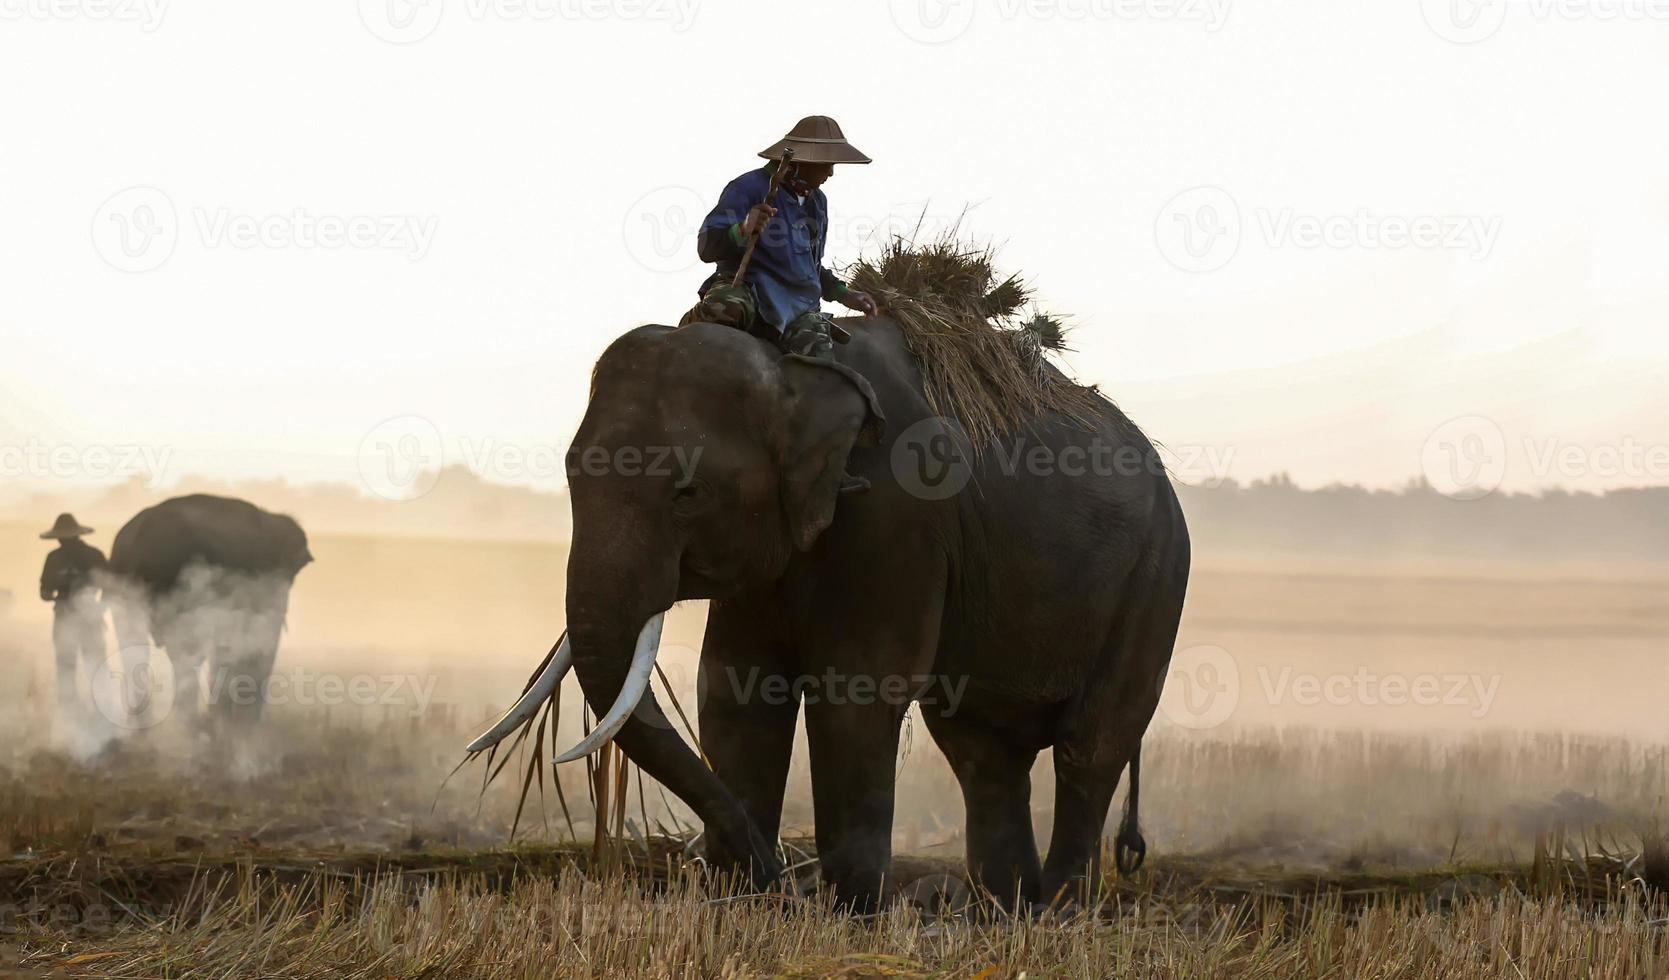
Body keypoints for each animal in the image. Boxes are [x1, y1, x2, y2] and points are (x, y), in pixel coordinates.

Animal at [477, 320, 1195, 914]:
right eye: (570, 473)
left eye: (688, 492)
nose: (776, 875)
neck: (791, 370)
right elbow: (736, 689)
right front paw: (742, 904)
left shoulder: (899, 514)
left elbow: (855, 694)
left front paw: (850, 913)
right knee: (983, 752)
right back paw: (1005, 913)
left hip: (1156, 577)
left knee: (1089, 743)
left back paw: (1058, 914)